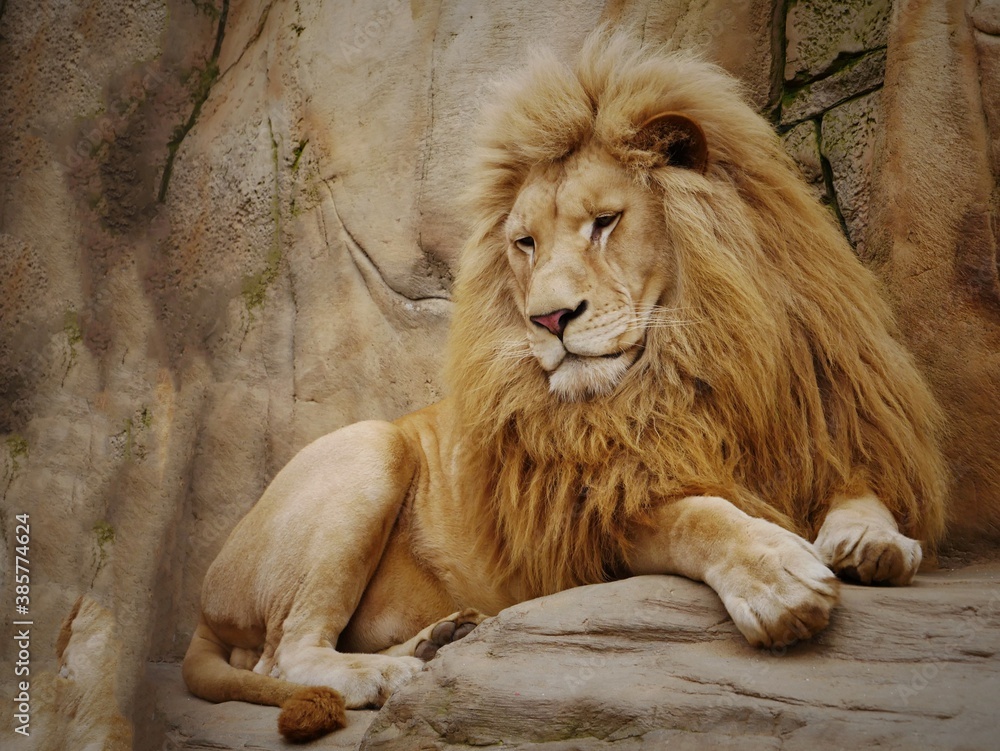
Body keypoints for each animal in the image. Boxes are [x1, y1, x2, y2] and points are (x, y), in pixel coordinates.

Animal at [183, 31, 948, 742]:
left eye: (605, 222)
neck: (694, 359)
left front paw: (871, 540)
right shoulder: (598, 522)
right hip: (371, 450)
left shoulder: (823, 427)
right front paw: (778, 579)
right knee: (283, 656)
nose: (549, 319)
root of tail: (204, 598)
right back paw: (392, 672)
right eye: (525, 243)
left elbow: (858, 486)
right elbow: (698, 516)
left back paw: (439, 641)